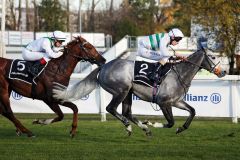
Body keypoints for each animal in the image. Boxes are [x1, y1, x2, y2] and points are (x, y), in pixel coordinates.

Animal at [52, 49, 225, 136]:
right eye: (213, 56)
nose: (223, 72)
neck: (179, 74)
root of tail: (104, 66)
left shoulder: (176, 101)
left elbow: (192, 111)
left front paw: (181, 128)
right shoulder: (164, 102)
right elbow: (170, 122)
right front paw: (153, 123)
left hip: (128, 93)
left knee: (126, 112)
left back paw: (144, 128)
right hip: (121, 90)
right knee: (111, 109)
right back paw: (131, 127)